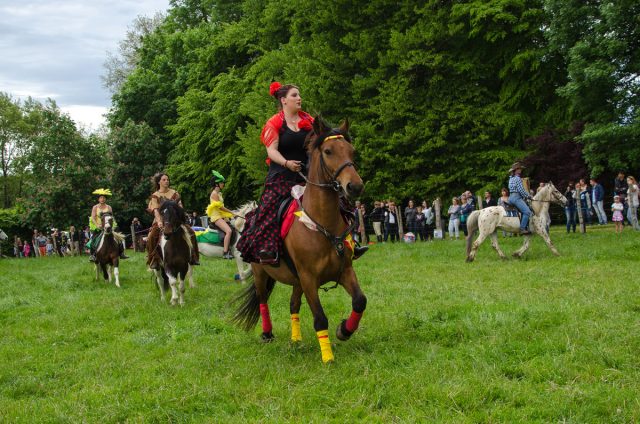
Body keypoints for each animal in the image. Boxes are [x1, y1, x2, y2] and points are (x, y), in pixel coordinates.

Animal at [234, 117, 364, 362]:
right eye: (328, 151)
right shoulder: (309, 279)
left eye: (351, 151)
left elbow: (360, 301)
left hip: (296, 281)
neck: (321, 223)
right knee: (263, 300)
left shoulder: (344, 271)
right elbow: (320, 318)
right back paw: (267, 333)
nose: (355, 186)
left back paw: (296, 340)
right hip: (261, 273)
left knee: (293, 305)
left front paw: (344, 331)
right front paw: (328, 357)